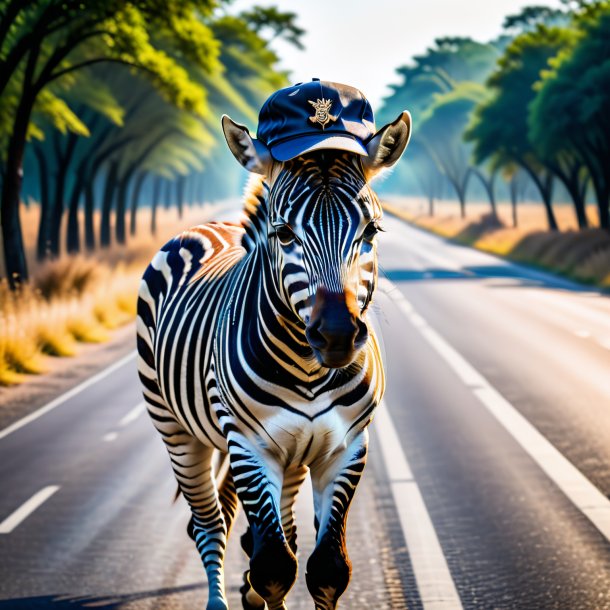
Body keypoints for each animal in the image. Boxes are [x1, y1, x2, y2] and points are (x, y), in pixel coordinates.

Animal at [136, 94, 410, 604]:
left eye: (372, 232)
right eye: (284, 234)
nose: (337, 336)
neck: (308, 369)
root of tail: (210, 225)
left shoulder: (345, 448)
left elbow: (325, 566)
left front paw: (262, 590)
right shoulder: (249, 445)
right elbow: (273, 566)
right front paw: (255, 590)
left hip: (291, 456)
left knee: (266, 526)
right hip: (176, 430)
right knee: (209, 523)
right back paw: (219, 600)